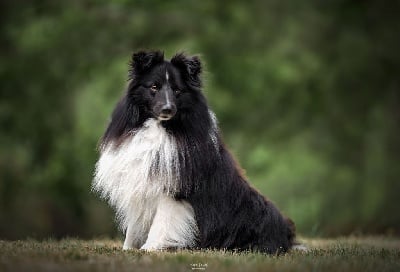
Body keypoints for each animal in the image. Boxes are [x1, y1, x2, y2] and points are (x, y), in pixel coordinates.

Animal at [92, 50, 296, 253]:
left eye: (177, 90)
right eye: (154, 87)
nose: (167, 109)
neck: (160, 127)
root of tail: (286, 234)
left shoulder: (175, 188)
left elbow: (162, 221)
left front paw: (150, 248)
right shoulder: (140, 181)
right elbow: (134, 227)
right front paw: (128, 249)